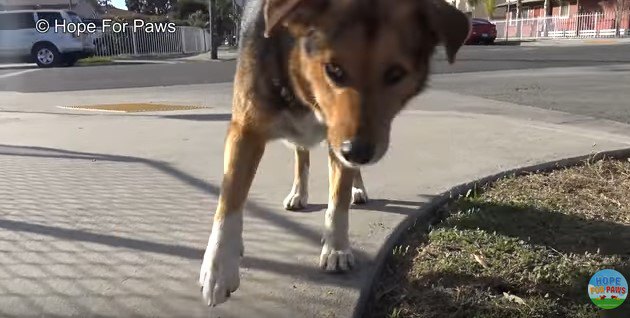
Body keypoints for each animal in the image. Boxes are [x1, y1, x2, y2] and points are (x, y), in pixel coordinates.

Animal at [200, 0, 472, 306]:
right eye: (334, 70)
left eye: (395, 74)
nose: (358, 152)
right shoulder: (246, 129)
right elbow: (230, 197)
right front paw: (219, 267)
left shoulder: (340, 142)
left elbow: (338, 197)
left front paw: (337, 248)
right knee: (301, 156)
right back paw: (299, 192)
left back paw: (357, 189)